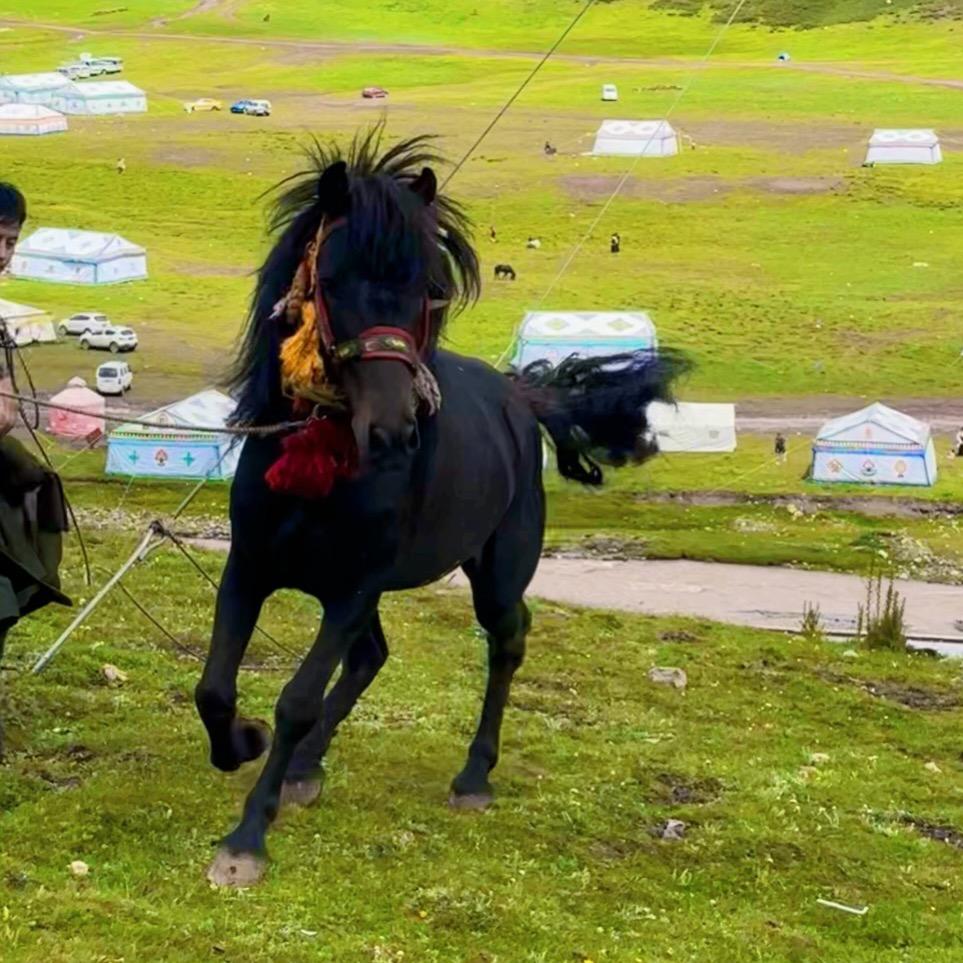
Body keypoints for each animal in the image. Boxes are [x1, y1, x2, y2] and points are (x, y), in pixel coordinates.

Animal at [194, 128, 688, 887]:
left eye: (426, 288)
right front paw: (244, 742)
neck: (324, 464)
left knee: (507, 640)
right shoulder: (251, 566)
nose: (393, 430)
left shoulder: (352, 588)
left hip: (496, 571)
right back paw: (306, 768)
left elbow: (298, 699)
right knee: (372, 657)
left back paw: (473, 776)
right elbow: (216, 689)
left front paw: (248, 836)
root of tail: (521, 399)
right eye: (331, 281)